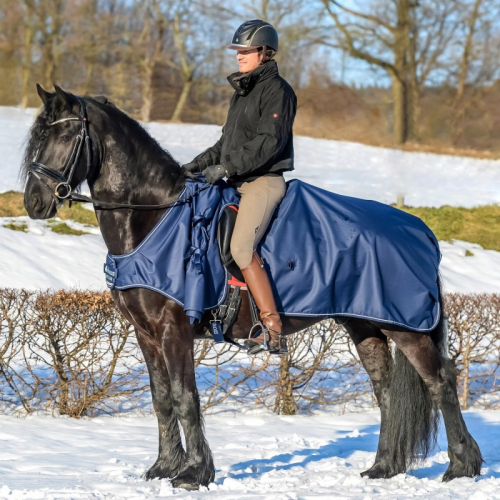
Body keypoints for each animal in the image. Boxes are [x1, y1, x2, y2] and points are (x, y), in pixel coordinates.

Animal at [21, 86, 482, 488]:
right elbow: (161, 399)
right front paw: (164, 467)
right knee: (384, 390)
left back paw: (461, 466)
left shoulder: (174, 330)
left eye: (65, 135)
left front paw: (194, 473)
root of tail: (420, 230)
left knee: (441, 382)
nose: (34, 203)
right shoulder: (145, 333)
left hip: (406, 327)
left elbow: (185, 398)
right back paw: (383, 467)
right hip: (365, 325)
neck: (153, 218)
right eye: (38, 137)